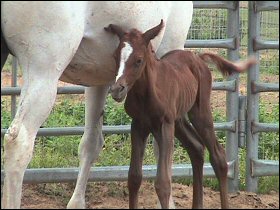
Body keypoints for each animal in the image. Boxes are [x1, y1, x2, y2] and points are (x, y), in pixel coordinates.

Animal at [0, 1, 192, 208]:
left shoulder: (97, 79)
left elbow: (91, 143)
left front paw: (76, 203)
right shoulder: (168, 48)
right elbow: (162, 146)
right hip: (44, 70)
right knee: (19, 142)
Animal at [104, 19, 255, 208]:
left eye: (138, 60)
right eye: (115, 57)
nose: (117, 90)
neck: (147, 93)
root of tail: (198, 58)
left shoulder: (165, 124)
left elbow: (163, 183)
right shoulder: (138, 124)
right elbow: (134, 178)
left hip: (199, 113)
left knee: (218, 157)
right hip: (179, 120)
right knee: (196, 148)